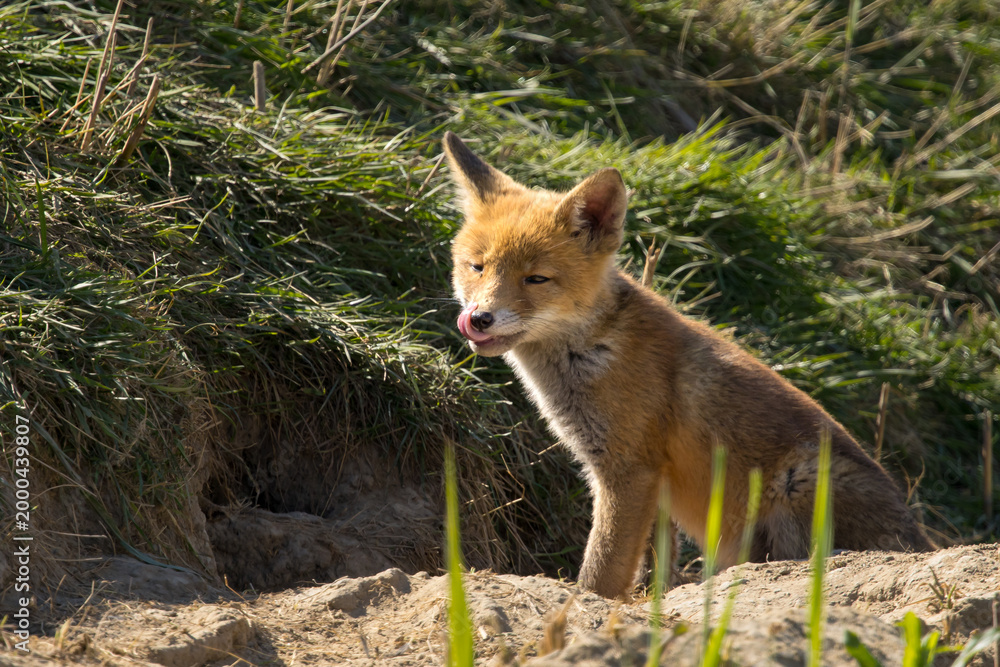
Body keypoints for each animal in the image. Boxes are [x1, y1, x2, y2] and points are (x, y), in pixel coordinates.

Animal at [441, 131, 933, 599]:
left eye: (536, 279)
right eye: (477, 267)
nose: (479, 318)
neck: (596, 347)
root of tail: (923, 543)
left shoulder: (628, 471)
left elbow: (602, 572)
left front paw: (583, 607)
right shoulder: (652, 485)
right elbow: (656, 563)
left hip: (800, 486)